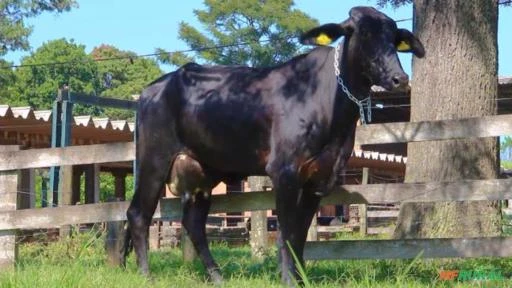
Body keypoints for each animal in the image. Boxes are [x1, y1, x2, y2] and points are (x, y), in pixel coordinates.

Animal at [123, 6, 424, 286]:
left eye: (394, 38)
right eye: (363, 34)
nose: (399, 78)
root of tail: (151, 89)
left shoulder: (319, 177)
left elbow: (300, 236)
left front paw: (302, 279)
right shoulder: (284, 171)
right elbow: (286, 234)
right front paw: (289, 279)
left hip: (202, 172)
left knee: (193, 224)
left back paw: (218, 277)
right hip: (154, 160)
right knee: (138, 214)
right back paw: (147, 276)